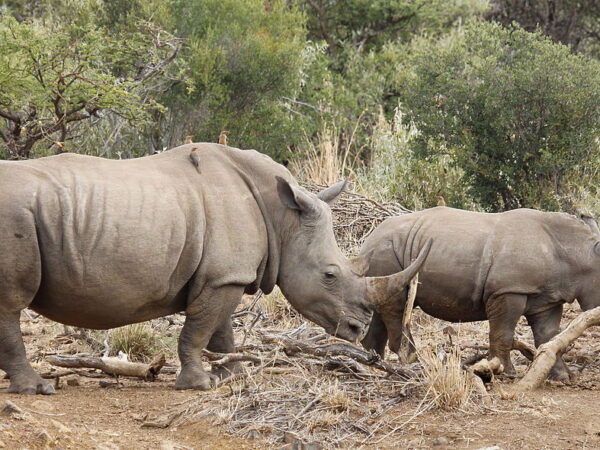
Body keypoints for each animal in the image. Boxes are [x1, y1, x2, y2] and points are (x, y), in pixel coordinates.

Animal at [0, 144, 426, 394]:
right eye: (330, 275)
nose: (357, 328)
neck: (282, 219)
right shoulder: (223, 276)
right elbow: (198, 330)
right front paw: (199, 384)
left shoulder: (226, 276)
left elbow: (221, 331)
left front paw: (233, 374)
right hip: (15, 215)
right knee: (11, 304)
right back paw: (36, 389)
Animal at [360, 207, 600, 380]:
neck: (579, 253)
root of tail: (369, 237)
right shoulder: (507, 290)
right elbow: (502, 333)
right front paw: (505, 372)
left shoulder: (547, 299)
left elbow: (549, 337)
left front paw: (561, 377)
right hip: (387, 250)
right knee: (397, 304)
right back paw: (412, 361)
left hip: (386, 251)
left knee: (381, 301)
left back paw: (374, 362)